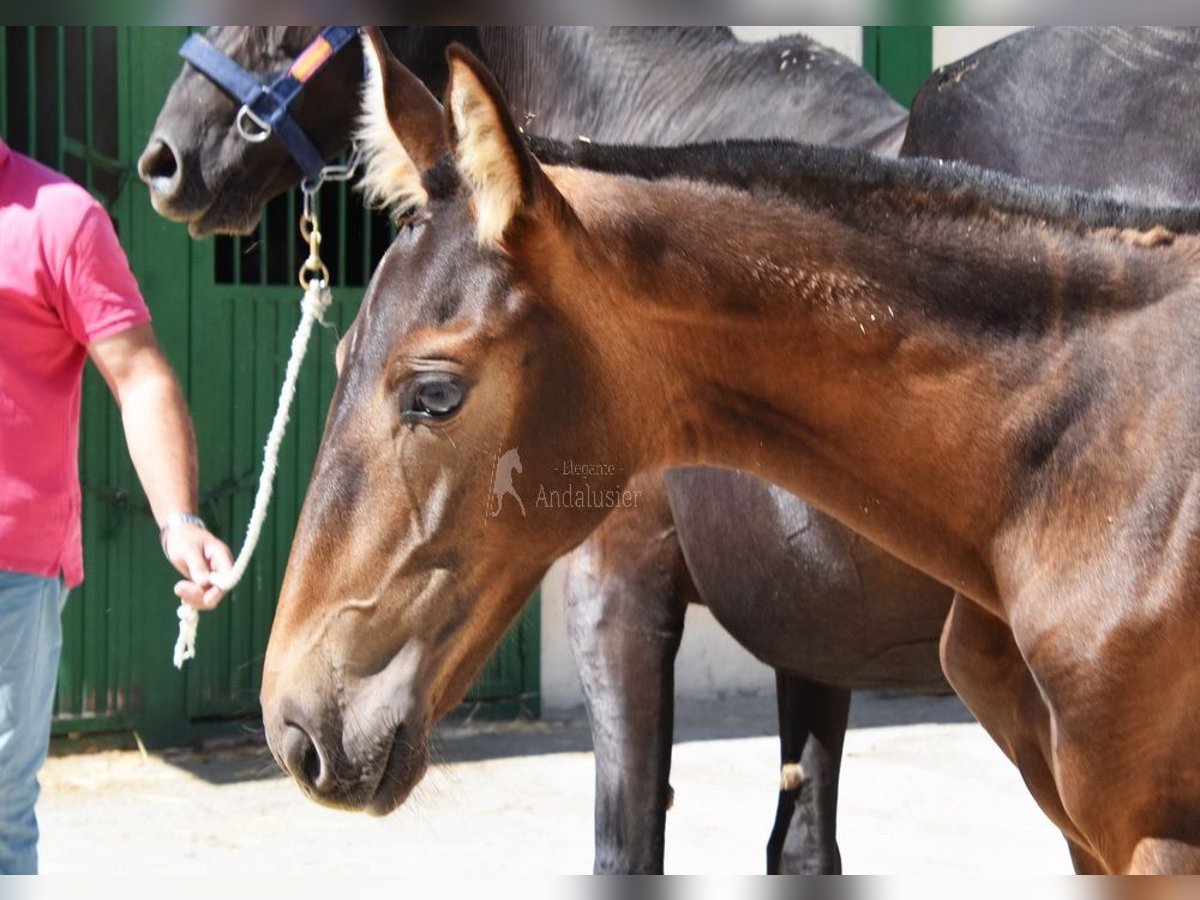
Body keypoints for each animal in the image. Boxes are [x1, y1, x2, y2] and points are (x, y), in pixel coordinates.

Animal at [145, 26, 940, 873]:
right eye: (336, 356)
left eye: (435, 395)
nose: (165, 160)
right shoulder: (811, 633)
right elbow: (803, 844)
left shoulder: (617, 588)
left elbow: (626, 843)